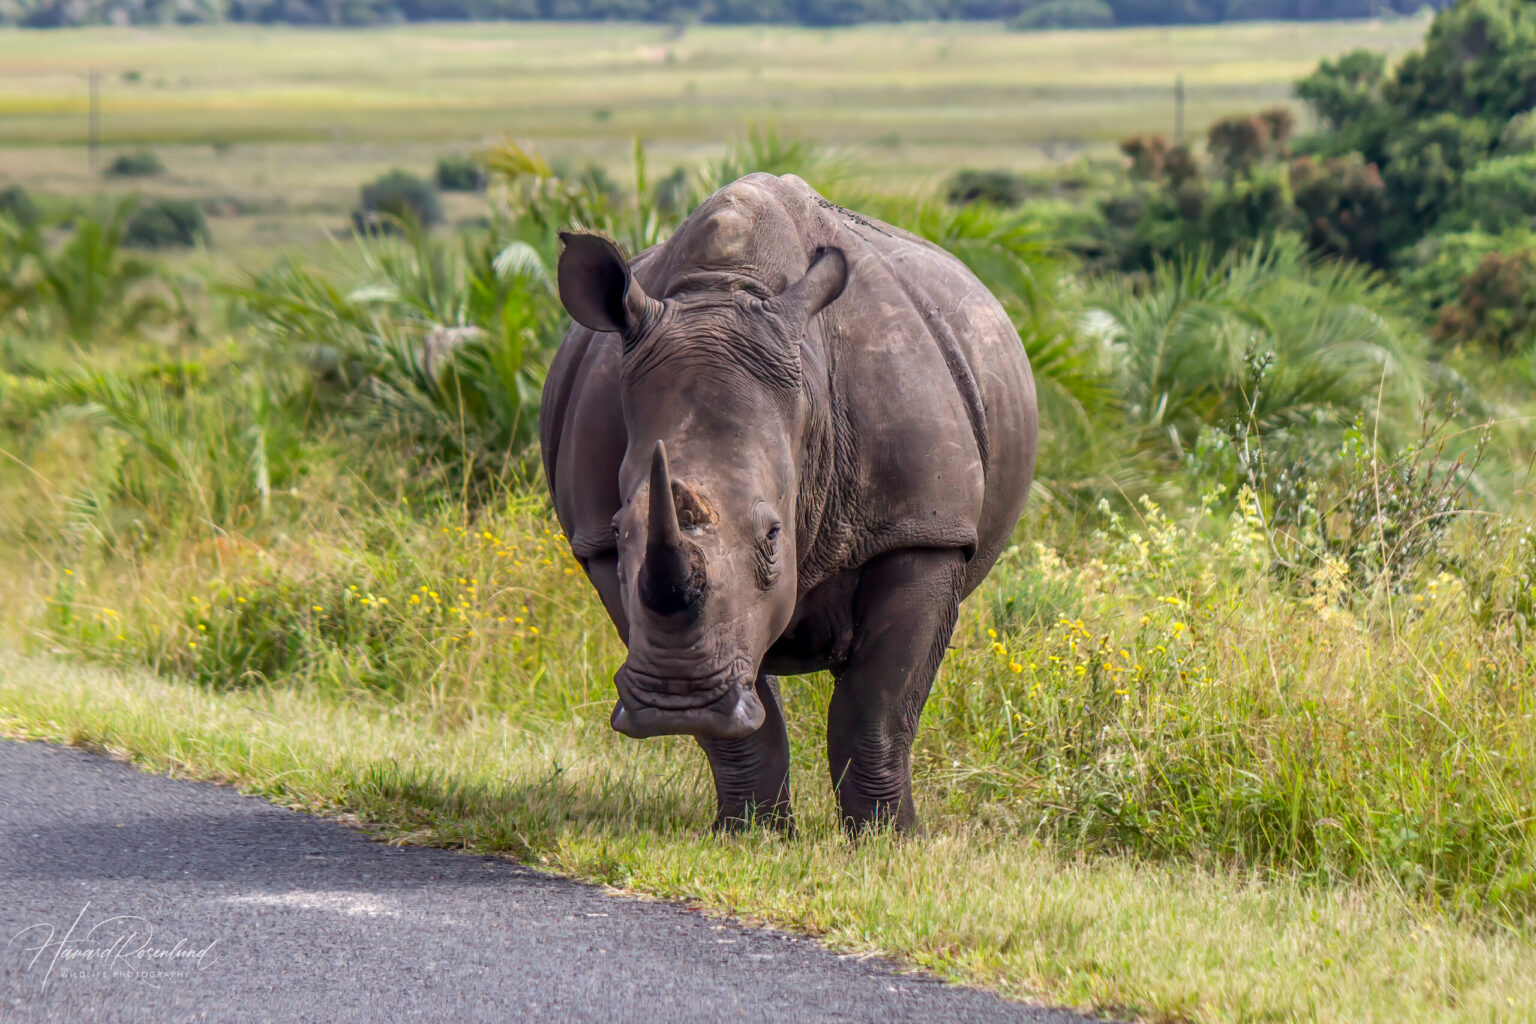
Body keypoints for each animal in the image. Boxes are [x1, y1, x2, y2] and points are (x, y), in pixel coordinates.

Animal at [540, 173, 1038, 835]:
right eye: (622, 532)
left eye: (774, 535)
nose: (677, 704)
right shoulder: (597, 543)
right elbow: (747, 718)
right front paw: (751, 837)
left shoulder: (922, 527)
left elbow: (876, 709)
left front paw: (888, 843)